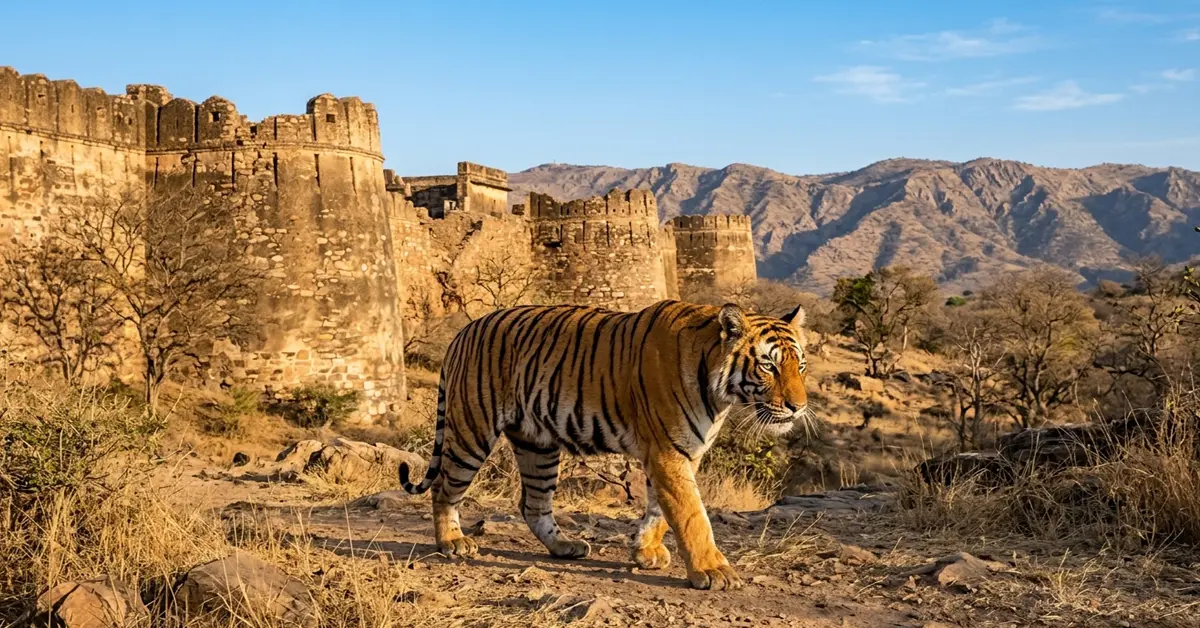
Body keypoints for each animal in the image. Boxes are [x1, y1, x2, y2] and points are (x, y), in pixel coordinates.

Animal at [398, 299, 810, 590]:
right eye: (769, 366)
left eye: (801, 366)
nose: (799, 406)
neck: (719, 393)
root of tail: (465, 329)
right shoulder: (668, 452)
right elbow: (691, 514)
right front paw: (713, 570)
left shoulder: (681, 452)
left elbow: (660, 509)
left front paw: (646, 551)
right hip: (472, 430)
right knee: (444, 487)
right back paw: (452, 542)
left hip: (537, 445)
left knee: (533, 504)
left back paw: (565, 547)